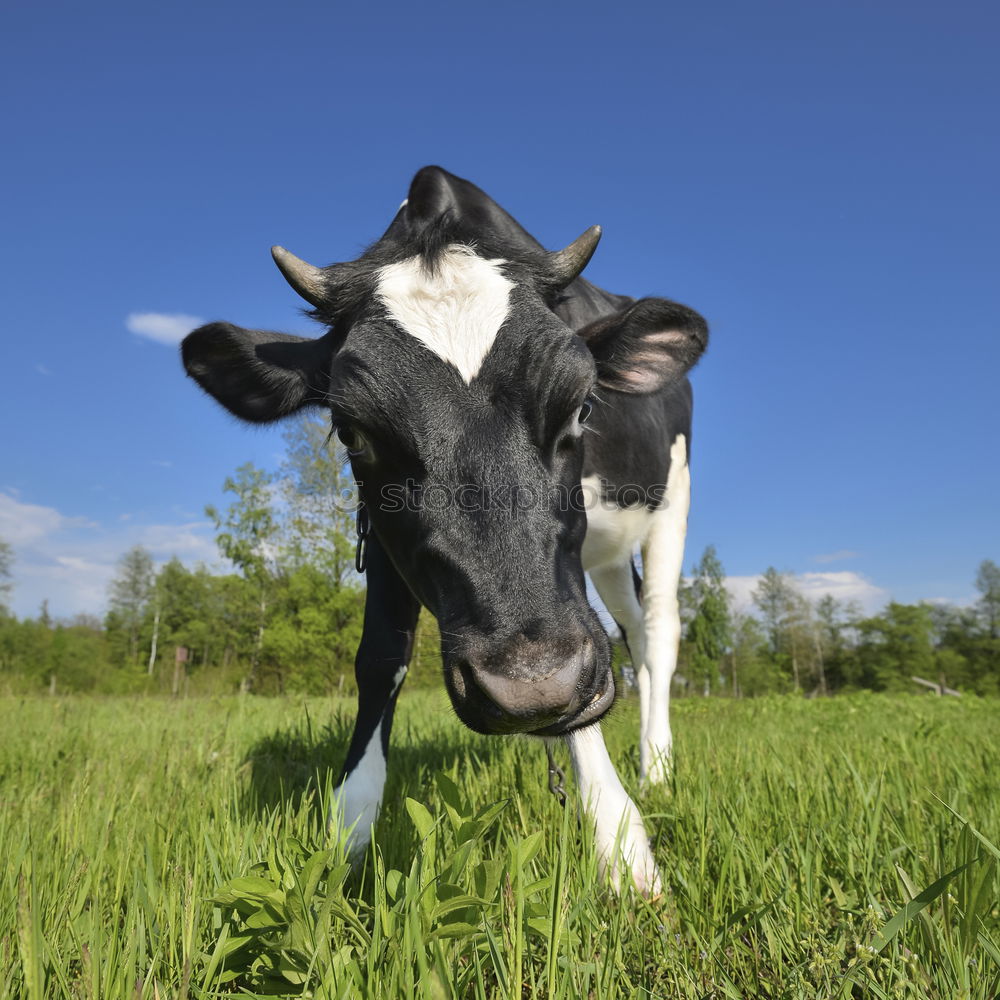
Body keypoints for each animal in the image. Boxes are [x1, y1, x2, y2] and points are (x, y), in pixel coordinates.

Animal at [182, 168, 712, 896]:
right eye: (353, 433)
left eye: (583, 407)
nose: (526, 685)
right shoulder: (380, 537)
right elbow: (380, 658)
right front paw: (347, 836)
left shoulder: (567, 582)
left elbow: (582, 681)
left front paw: (622, 844)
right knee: (630, 629)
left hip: (671, 505)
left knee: (657, 631)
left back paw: (656, 766)